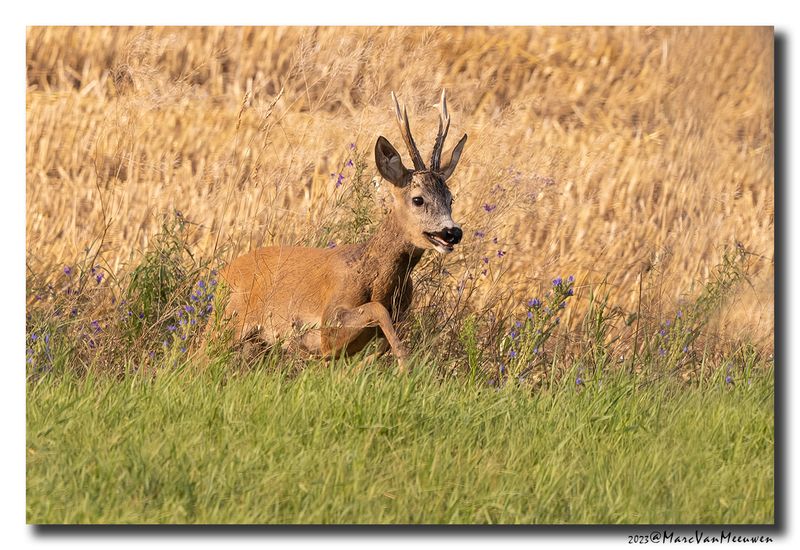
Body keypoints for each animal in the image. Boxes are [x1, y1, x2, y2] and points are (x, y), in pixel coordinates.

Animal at [220, 90, 467, 372]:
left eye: (450, 198)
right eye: (418, 199)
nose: (452, 232)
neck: (377, 279)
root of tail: (223, 273)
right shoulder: (328, 323)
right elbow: (376, 310)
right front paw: (404, 362)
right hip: (230, 320)